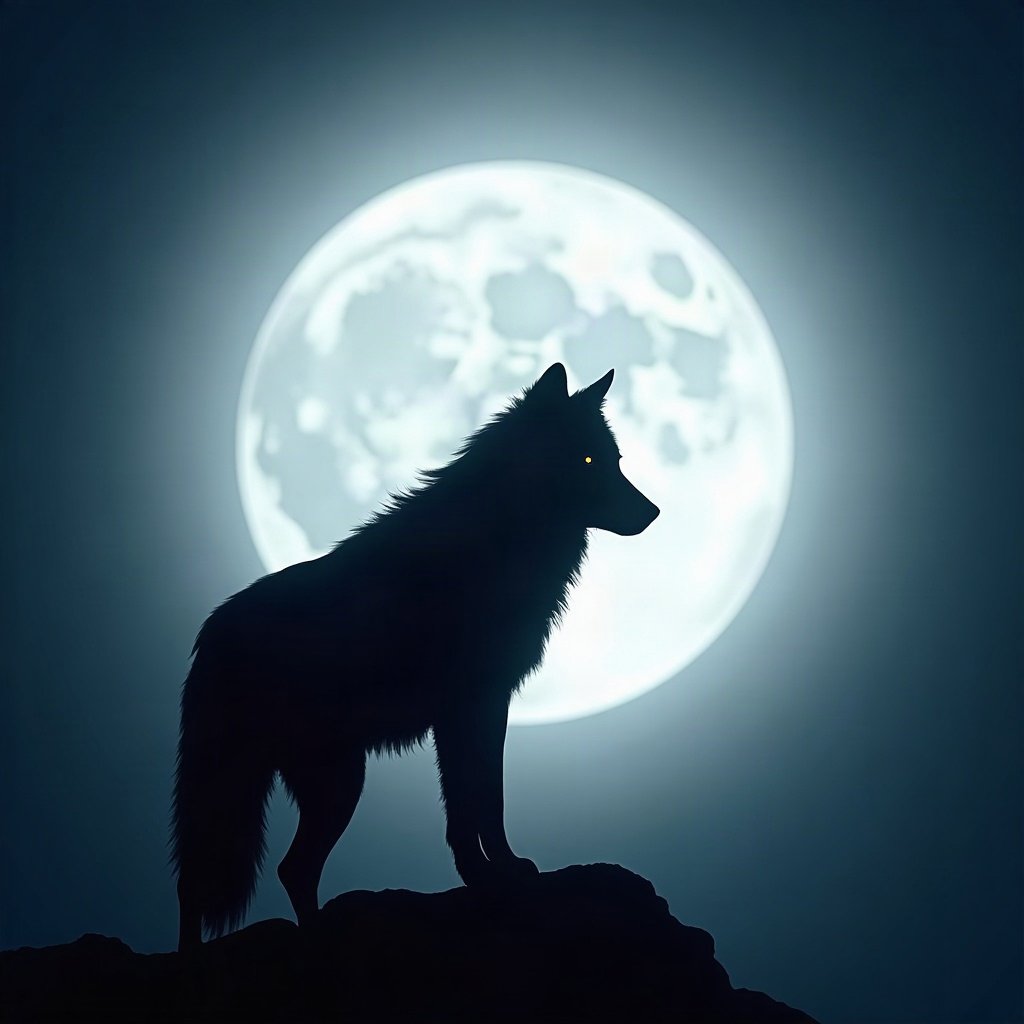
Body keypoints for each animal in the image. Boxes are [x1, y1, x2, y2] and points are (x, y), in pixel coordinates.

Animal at [170, 362, 659, 950]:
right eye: (588, 460)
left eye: (616, 461)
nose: (654, 512)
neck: (498, 537)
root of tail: (210, 632)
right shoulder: (469, 708)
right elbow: (477, 803)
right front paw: (493, 876)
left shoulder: (477, 709)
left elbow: (476, 804)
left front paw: (492, 873)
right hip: (305, 783)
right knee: (224, 876)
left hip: (327, 780)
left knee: (280, 870)